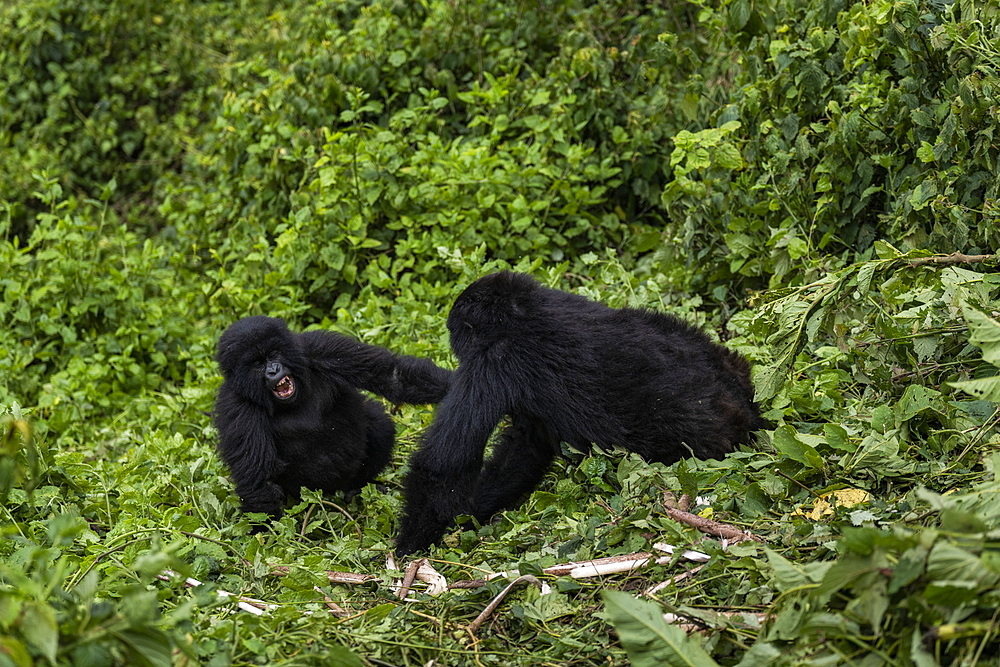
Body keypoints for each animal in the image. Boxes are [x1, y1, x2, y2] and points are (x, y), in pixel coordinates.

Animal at [216, 318, 454, 520]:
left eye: (273, 354)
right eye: (257, 363)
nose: (273, 370)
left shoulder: (319, 347)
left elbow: (392, 375)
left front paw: (454, 385)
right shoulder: (234, 404)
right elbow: (258, 479)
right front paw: (268, 536)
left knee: (378, 421)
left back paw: (360, 486)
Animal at [394, 272, 768, 560]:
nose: (451, 342)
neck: (520, 312)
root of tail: (748, 417)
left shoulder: (490, 362)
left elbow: (443, 466)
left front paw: (410, 544)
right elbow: (523, 451)